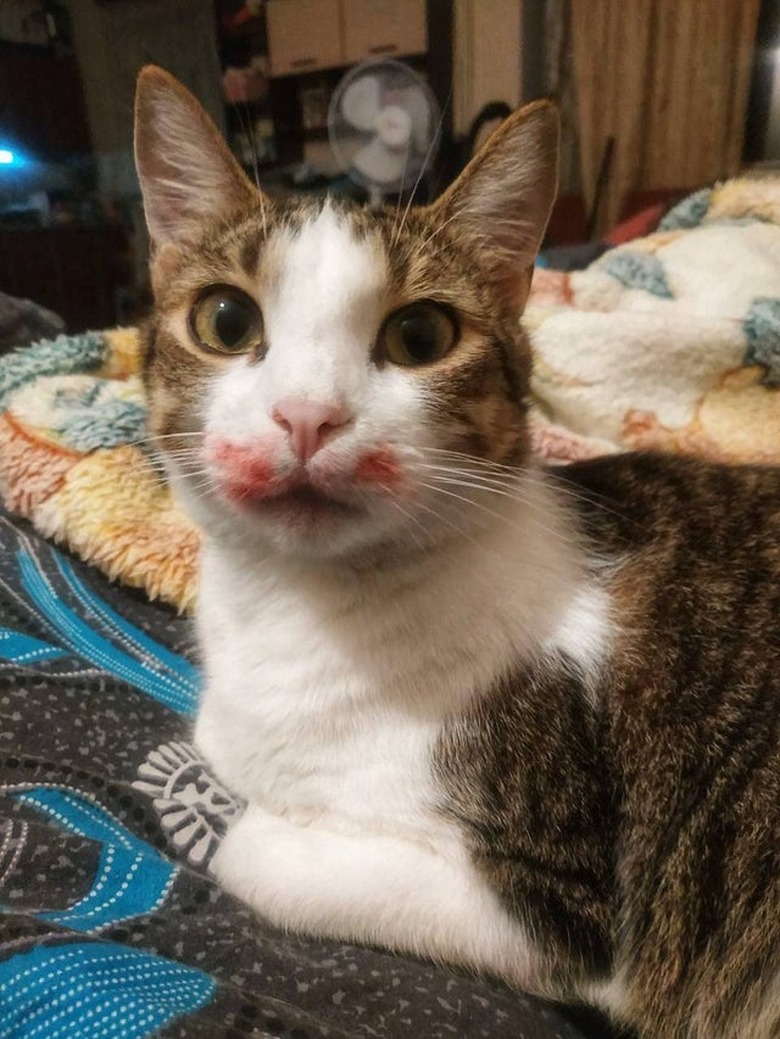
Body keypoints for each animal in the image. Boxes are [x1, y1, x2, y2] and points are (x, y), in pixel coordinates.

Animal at [136, 67, 780, 1039]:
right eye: (224, 318)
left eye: (420, 337)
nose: (307, 415)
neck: (302, 613)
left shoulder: (558, 898)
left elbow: (256, 850)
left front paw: (222, 817)